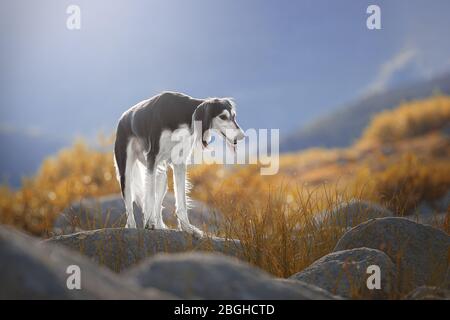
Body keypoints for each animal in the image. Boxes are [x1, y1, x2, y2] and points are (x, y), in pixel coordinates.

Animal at [114, 90, 244, 235]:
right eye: (223, 116)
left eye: (234, 116)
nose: (242, 136)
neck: (181, 113)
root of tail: (123, 117)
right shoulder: (152, 158)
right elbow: (150, 196)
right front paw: (149, 223)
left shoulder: (179, 163)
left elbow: (182, 200)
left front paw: (187, 227)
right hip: (126, 172)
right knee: (129, 203)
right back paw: (132, 225)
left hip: (161, 177)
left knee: (158, 203)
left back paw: (159, 225)